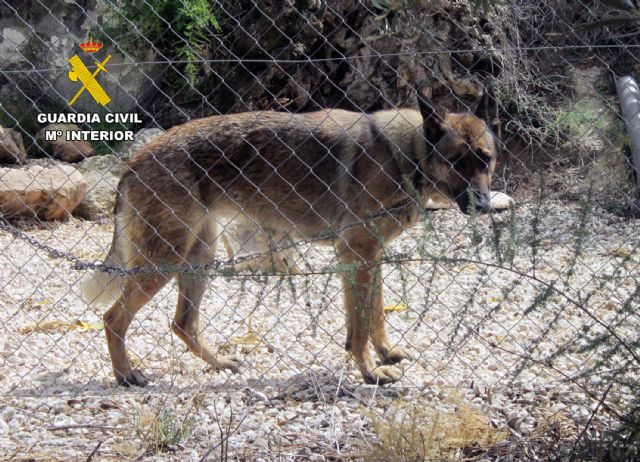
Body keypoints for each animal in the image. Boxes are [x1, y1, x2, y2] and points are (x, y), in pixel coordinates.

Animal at [81, 85, 500, 386]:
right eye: (455, 162)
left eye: (485, 159)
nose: (483, 205)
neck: (408, 155)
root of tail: (133, 161)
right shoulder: (358, 256)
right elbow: (361, 327)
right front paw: (370, 372)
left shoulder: (368, 258)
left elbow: (373, 316)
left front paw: (384, 354)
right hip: (163, 262)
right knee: (113, 318)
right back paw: (126, 375)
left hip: (198, 260)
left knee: (183, 324)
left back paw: (219, 362)